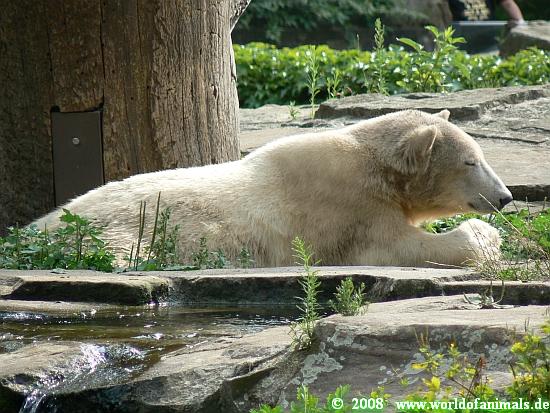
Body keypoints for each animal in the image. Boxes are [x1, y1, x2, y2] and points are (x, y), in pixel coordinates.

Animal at [32, 109, 512, 268]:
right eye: (471, 161)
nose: (505, 197)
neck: (376, 168)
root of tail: (33, 229)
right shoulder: (347, 210)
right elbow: (398, 247)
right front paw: (485, 237)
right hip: (118, 232)